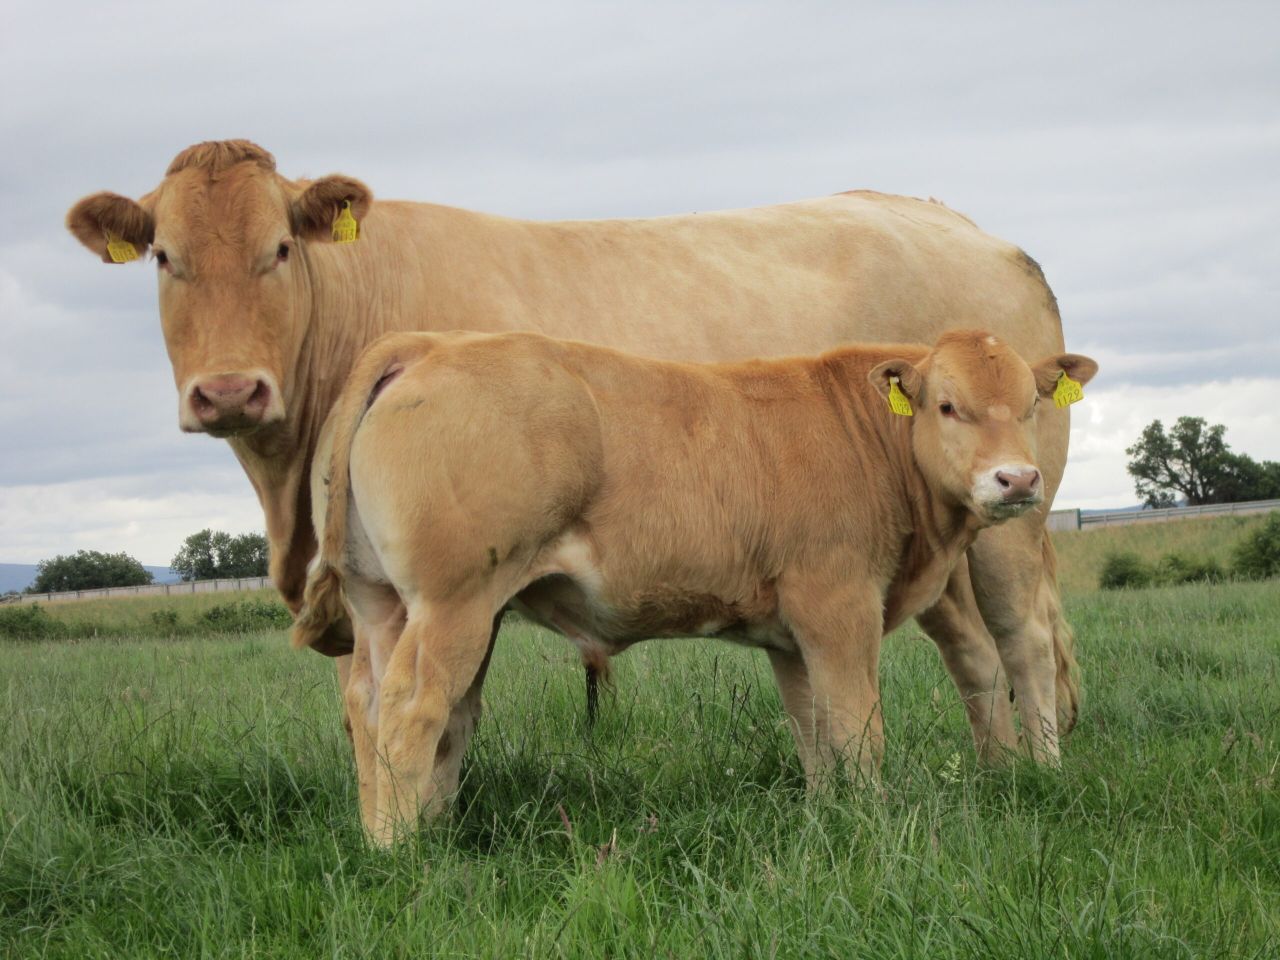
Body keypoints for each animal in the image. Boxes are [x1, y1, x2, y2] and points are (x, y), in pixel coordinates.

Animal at [66, 139, 1078, 763]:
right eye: (163, 256)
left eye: (280, 247)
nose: (229, 391)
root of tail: (972, 229)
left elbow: (437, 711)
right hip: (940, 550)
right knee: (975, 656)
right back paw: (998, 771)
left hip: (1007, 522)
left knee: (1024, 642)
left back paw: (1040, 773)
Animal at [291, 328, 1097, 845]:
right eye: (947, 405)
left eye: (1031, 405)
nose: (1017, 480)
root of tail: (428, 344)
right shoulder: (839, 604)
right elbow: (856, 726)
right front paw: (872, 821)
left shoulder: (791, 632)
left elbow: (813, 731)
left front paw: (828, 814)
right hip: (453, 601)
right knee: (411, 707)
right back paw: (403, 852)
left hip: (382, 604)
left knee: (368, 705)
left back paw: (380, 835)